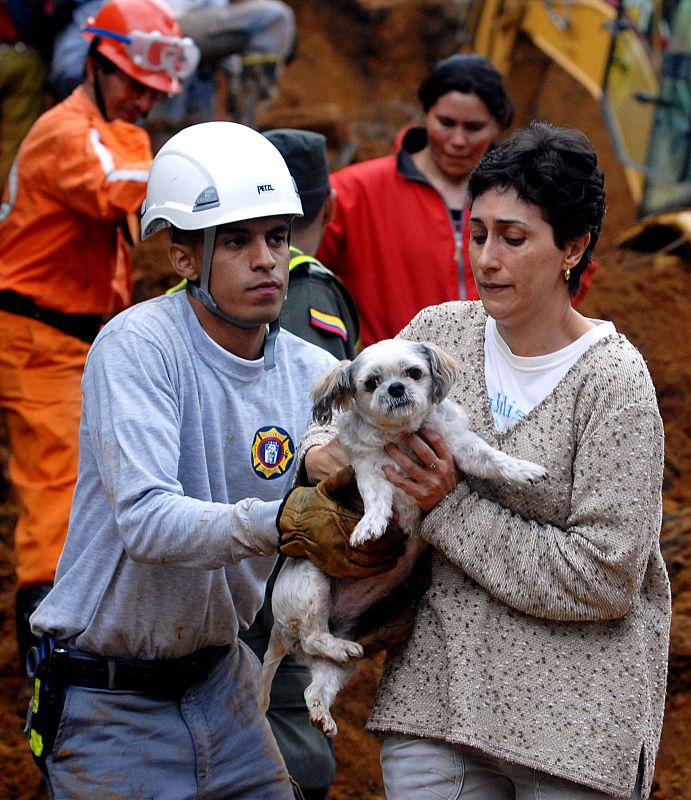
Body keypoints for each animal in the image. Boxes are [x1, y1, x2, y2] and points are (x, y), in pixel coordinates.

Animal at [260, 338, 548, 736]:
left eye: (413, 372)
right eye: (371, 383)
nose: (395, 388)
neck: (401, 436)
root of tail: (279, 632)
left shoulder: (460, 449)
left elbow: (492, 459)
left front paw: (524, 471)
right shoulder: (366, 469)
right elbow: (377, 498)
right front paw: (369, 526)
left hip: (343, 653)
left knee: (316, 683)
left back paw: (325, 707)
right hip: (311, 582)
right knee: (312, 635)